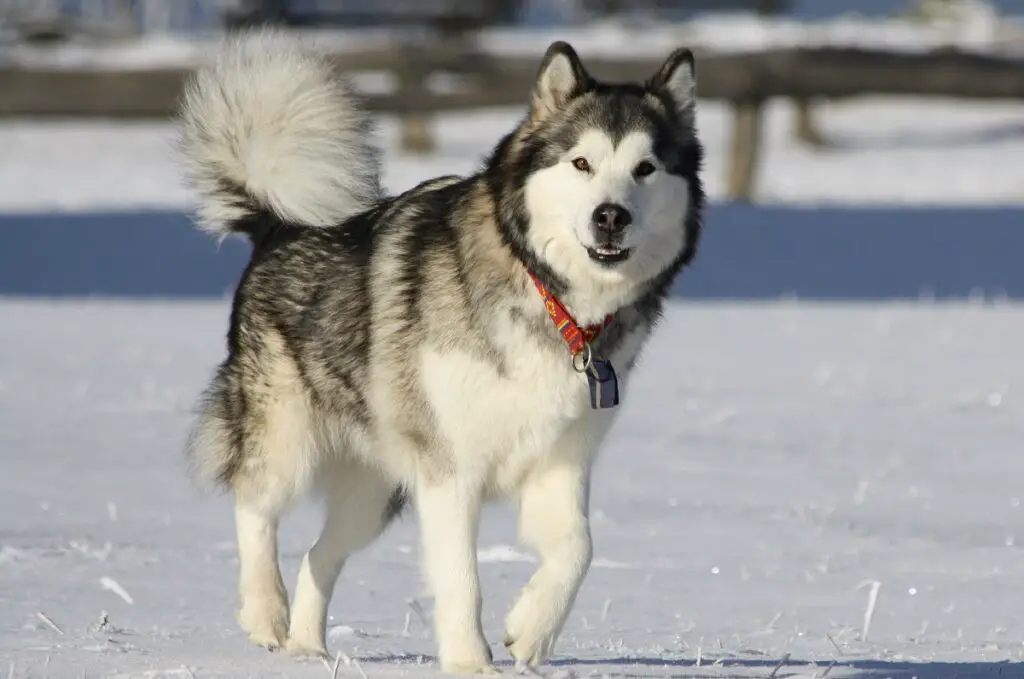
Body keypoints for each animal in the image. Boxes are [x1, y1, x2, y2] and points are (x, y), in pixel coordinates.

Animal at [178, 30, 704, 675]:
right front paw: (471, 662)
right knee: (255, 505)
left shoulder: (560, 461)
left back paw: (308, 649)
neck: (549, 297)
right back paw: (265, 612)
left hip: (376, 491)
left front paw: (531, 633)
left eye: (645, 168)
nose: (611, 216)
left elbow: (579, 549)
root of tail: (279, 226)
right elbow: (461, 579)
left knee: (319, 555)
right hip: (288, 437)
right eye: (581, 163)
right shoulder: (450, 471)